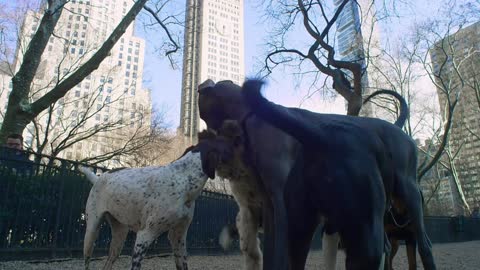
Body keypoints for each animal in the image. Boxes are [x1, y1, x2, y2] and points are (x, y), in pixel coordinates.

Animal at [79, 129, 236, 270]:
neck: (183, 179)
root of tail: (98, 178)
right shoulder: (144, 237)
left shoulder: (178, 237)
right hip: (91, 232)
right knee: (87, 262)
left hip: (119, 236)